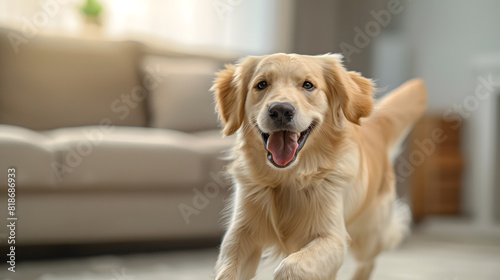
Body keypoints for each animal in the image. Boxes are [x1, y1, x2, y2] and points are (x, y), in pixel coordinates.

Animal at [213, 53, 428, 280]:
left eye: (308, 85)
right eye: (261, 84)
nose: (280, 110)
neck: (287, 179)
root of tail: (374, 128)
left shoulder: (333, 238)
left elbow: (290, 266)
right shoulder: (241, 233)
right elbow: (228, 270)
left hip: (367, 235)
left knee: (372, 256)